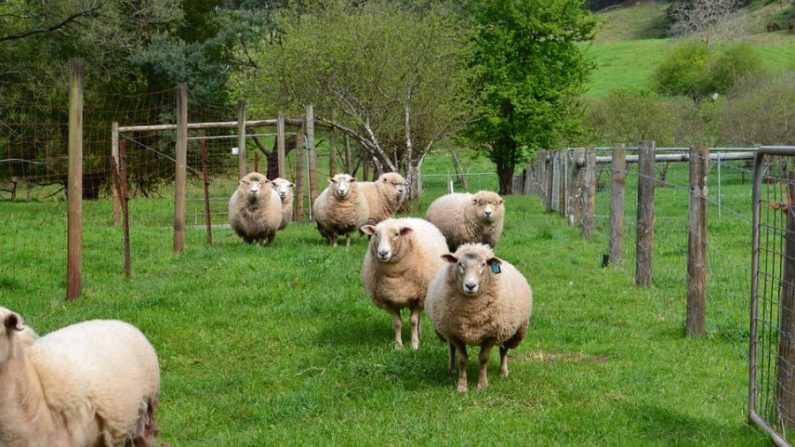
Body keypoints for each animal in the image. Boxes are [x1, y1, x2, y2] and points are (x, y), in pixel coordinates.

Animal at [360, 217, 448, 350]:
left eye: (396, 234)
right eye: (376, 234)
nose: (383, 253)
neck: (395, 275)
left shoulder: (419, 297)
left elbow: (413, 321)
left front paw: (415, 345)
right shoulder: (388, 300)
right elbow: (397, 323)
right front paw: (398, 346)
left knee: (418, 318)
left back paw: (419, 334)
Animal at [426, 243, 532, 394]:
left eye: (483, 264)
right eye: (460, 264)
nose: (470, 286)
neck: (472, 314)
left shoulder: (491, 335)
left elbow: (483, 359)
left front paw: (482, 384)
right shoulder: (455, 334)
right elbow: (462, 359)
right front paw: (462, 386)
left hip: (512, 331)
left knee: (504, 350)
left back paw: (503, 371)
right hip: (447, 330)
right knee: (451, 348)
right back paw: (452, 369)